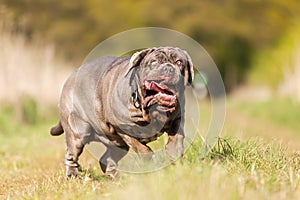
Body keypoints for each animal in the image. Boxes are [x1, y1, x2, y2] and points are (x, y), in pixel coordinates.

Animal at [50, 47, 193, 178]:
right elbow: (143, 149)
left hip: (117, 144)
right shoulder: (122, 128)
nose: (168, 69)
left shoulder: (177, 119)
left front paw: (175, 157)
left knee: (106, 158)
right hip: (78, 132)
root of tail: (71, 76)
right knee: (71, 155)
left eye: (179, 62)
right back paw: (73, 174)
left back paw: (114, 176)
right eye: (154, 62)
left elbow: (175, 139)